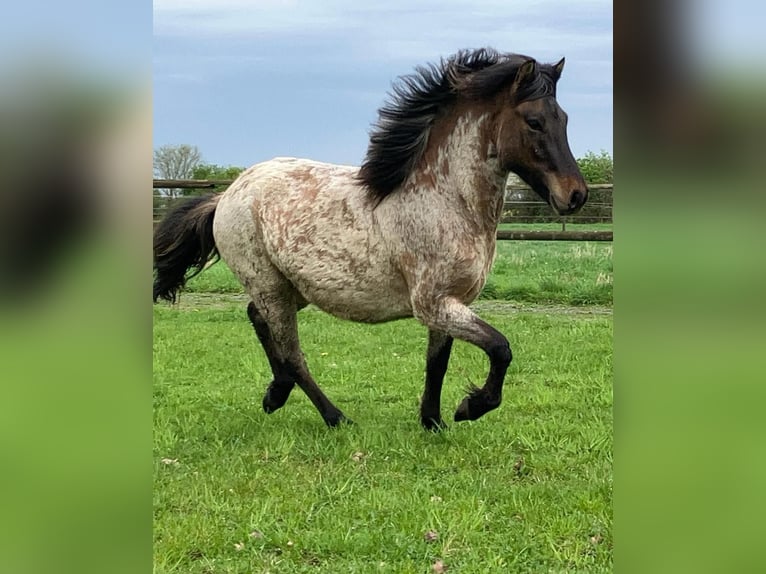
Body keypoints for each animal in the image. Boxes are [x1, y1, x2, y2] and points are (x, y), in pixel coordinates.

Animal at [154, 48, 588, 432]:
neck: (444, 199)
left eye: (565, 118)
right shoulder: (433, 304)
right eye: (534, 121)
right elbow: (500, 348)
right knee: (292, 353)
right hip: (268, 284)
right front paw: (471, 407)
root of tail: (227, 194)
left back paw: (276, 395)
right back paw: (334, 417)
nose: (576, 195)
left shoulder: (450, 304)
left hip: (293, 287)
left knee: (257, 319)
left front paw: (433, 422)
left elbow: (437, 362)